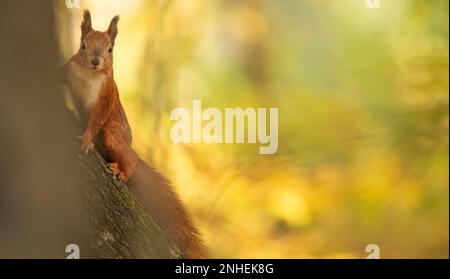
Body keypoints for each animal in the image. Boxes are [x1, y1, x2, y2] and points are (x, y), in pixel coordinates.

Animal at [62, 10, 206, 260]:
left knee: (127, 158)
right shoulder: (70, 69)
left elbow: (97, 117)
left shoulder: (106, 96)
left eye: (110, 49)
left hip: (114, 134)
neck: (89, 75)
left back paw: (122, 170)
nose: (95, 61)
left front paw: (87, 138)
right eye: (83, 45)